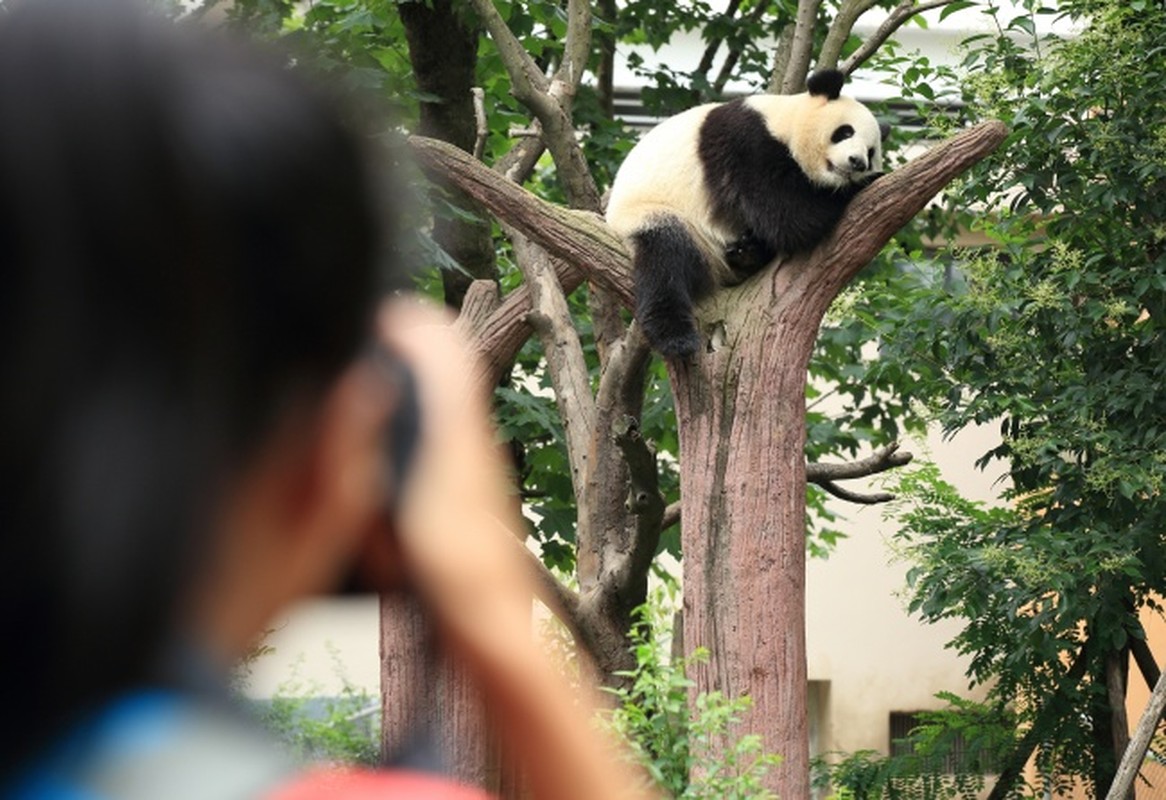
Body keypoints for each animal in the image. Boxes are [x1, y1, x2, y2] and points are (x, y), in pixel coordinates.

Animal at [610, 70, 881, 359]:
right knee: (664, 259)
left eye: (871, 151)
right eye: (845, 132)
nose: (858, 163)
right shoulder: (746, 143)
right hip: (652, 213)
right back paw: (675, 337)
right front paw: (865, 183)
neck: (784, 121)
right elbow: (789, 215)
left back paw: (747, 253)